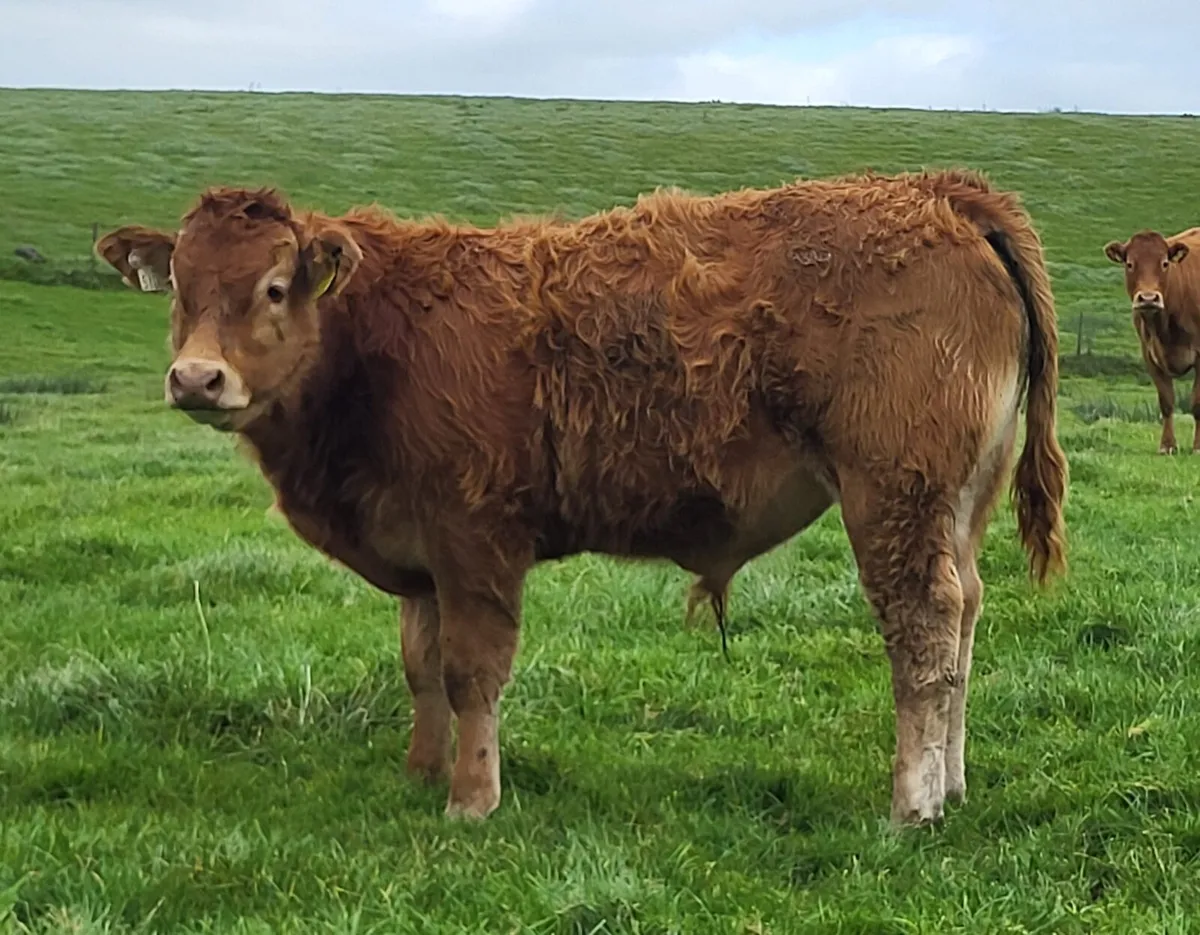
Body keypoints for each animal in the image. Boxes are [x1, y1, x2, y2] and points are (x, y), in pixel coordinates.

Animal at [96, 169, 1067, 827]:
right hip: (955, 504)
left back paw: (914, 801)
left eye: (271, 287)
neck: (383, 339)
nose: (196, 377)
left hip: (892, 495)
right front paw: (421, 772)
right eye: (178, 288)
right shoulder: (419, 549)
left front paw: (472, 798)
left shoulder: (475, 536)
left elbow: (471, 669)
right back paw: (953, 781)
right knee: (965, 614)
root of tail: (940, 192)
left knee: (922, 631)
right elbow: (420, 665)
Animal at [1103, 228, 1200, 453]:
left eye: (1164, 263)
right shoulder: (1150, 355)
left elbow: (1197, 403)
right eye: (1130, 264)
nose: (1148, 298)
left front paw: (1198, 446)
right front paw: (1167, 445)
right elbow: (1166, 401)